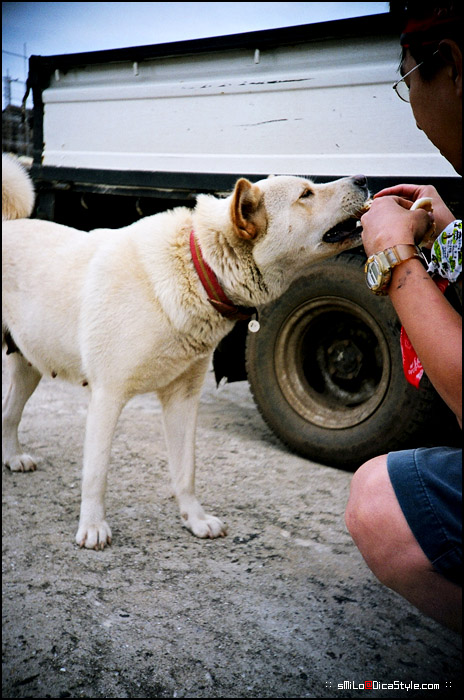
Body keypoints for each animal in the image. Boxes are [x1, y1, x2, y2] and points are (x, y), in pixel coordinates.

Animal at [1, 156, 368, 548]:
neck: (197, 267)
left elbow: (185, 471)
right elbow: (96, 474)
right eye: (306, 194)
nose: (363, 179)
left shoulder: (182, 399)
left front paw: (195, 519)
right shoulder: (107, 396)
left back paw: (13, 457)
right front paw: (92, 526)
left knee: (9, 414)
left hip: (29, 367)